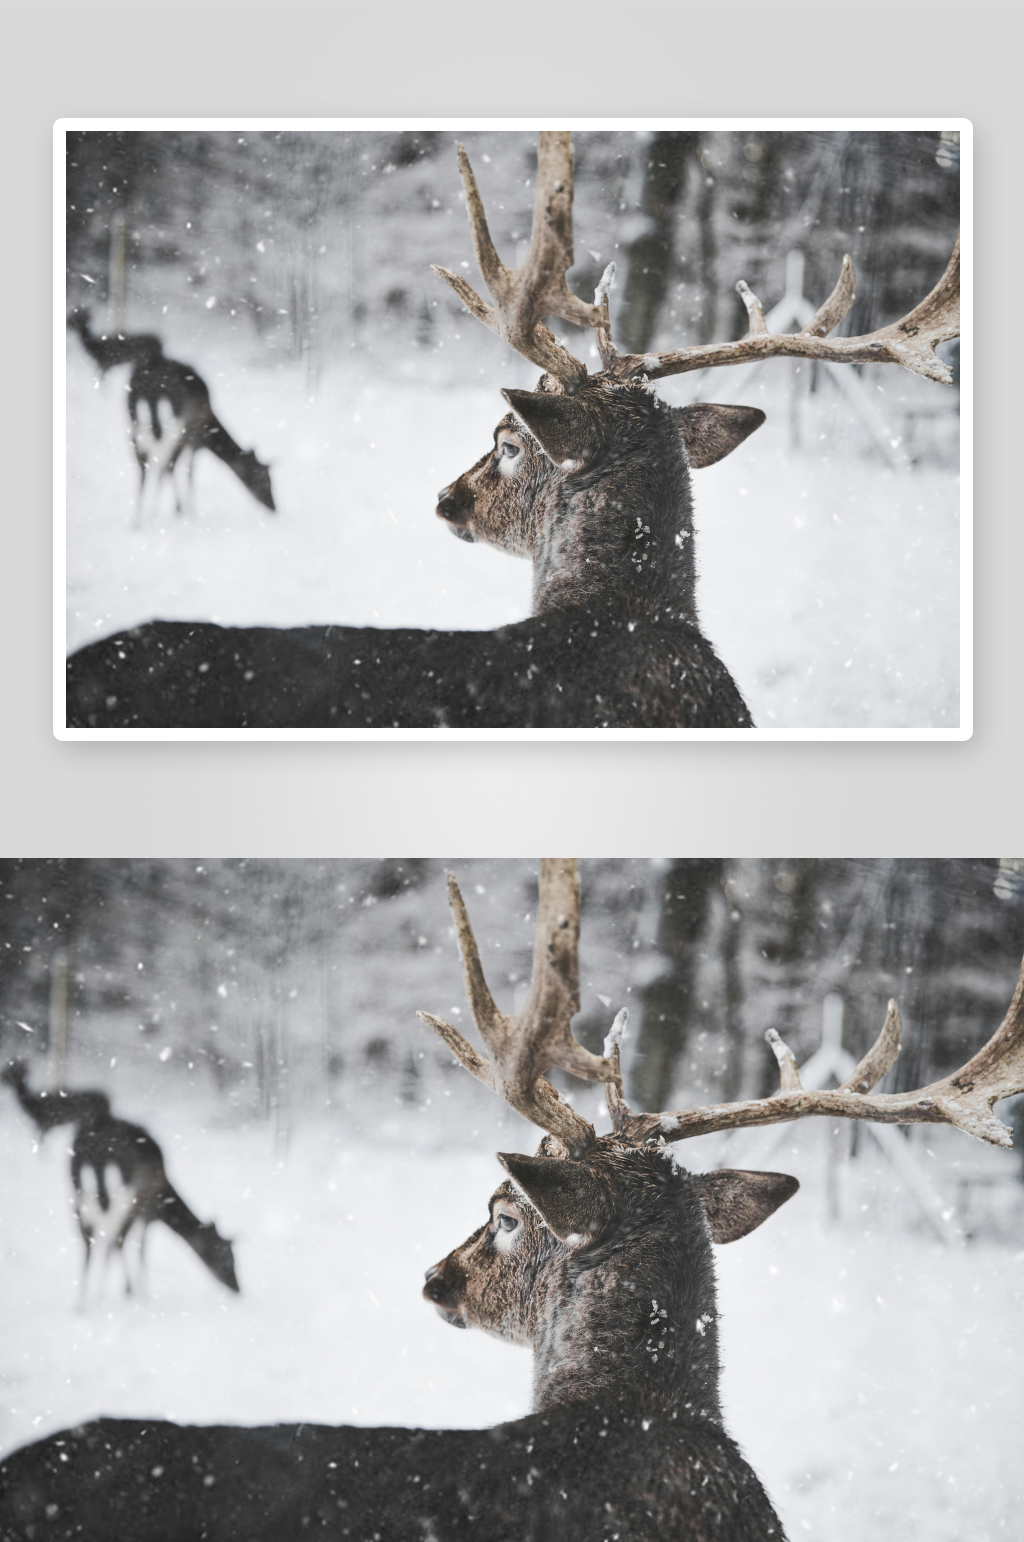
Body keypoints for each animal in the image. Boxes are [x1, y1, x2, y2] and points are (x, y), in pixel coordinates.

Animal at [3, 1059, 239, 1303]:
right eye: (226, 1255)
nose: (238, 1289)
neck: (165, 1198)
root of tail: (94, 1152)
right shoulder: (147, 1208)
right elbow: (139, 1247)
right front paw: (138, 1292)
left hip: (78, 1187)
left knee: (89, 1238)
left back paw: (83, 1301)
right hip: (123, 1192)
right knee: (113, 1236)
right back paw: (112, 1292)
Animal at [68, 308, 276, 524]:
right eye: (264, 478)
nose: (274, 507)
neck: (211, 429)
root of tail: (149, 389)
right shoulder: (194, 438)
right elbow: (188, 471)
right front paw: (188, 511)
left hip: (134, 419)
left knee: (144, 464)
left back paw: (138, 520)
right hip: (174, 423)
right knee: (165, 463)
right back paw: (167, 511)